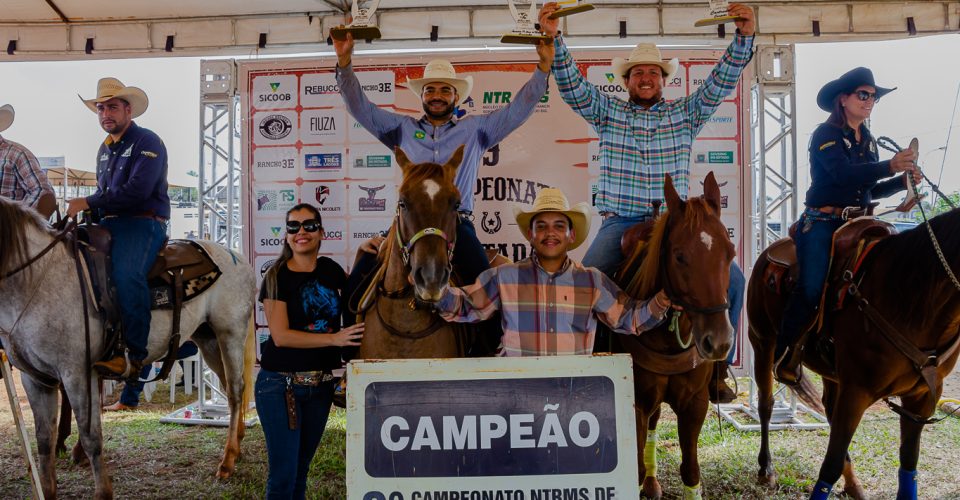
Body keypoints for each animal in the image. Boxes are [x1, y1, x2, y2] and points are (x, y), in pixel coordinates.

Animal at [0, 197, 256, 498]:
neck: (39, 277)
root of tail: (235, 255)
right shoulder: (36, 379)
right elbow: (43, 439)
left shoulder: (78, 375)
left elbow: (91, 436)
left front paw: (103, 491)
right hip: (208, 340)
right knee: (229, 388)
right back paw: (237, 444)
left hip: (231, 334)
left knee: (236, 391)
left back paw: (227, 461)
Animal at [612, 171, 732, 496]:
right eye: (679, 256)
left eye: (731, 253)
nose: (717, 342)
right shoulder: (636, 403)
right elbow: (635, 469)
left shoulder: (696, 402)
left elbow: (691, 471)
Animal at [752, 209, 960, 498]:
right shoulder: (857, 391)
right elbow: (830, 465)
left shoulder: (922, 397)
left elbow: (909, 462)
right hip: (762, 342)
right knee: (766, 405)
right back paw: (766, 469)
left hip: (831, 374)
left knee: (828, 410)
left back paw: (853, 484)